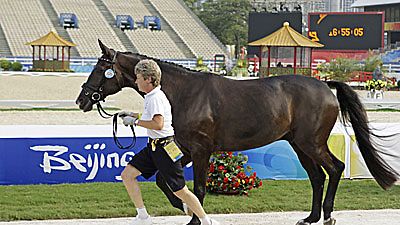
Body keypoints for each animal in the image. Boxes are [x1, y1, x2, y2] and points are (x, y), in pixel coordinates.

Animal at [74, 40, 396, 225]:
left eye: (100, 68)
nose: (82, 100)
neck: (184, 93)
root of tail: (325, 85)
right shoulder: (187, 149)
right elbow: (167, 182)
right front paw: (184, 206)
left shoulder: (201, 151)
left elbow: (198, 187)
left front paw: (194, 217)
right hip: (299, 144)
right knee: (317, 177)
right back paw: (310, 217)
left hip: (311, 142)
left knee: (335, 168)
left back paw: (327, 216)